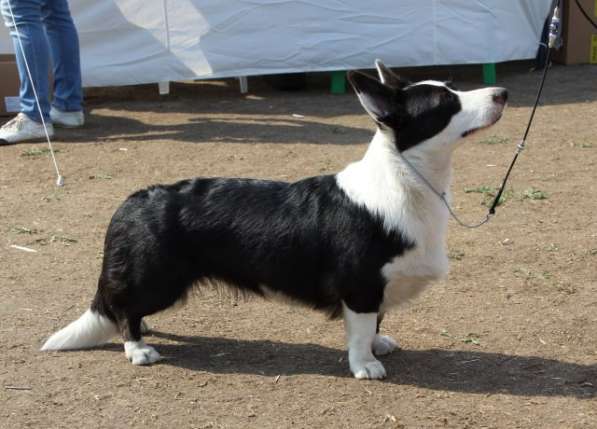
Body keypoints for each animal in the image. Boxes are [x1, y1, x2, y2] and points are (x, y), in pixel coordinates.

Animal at [42, 59, 506, 378]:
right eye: (447, 103)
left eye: (452, 88)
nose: (502, 92)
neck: (407, 177)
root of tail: (131, 203)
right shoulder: (360, 284)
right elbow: (360, 330)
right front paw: (366, 366)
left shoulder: (376, 287)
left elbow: (376, 321)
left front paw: (380, 344)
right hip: (161, 280)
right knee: (124, 311)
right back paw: (137, 349)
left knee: (129, 308)